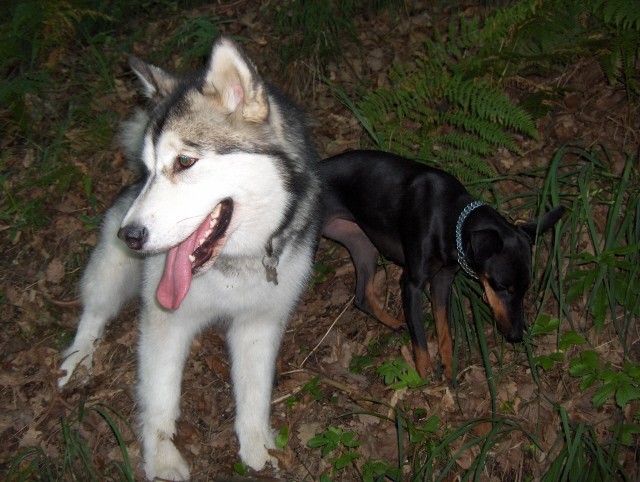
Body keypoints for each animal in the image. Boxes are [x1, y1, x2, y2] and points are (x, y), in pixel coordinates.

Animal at [57, 36, 322, 478]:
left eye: (184, 161)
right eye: (149, 170)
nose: (129, 236)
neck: (231, 266)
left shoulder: (259, 323)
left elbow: (254, 396)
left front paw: (256, 447)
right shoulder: (165, 321)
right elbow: (160, 398)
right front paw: (163, 459)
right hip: (111, 270)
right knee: (94, 312)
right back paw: (78, 358)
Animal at [322, 149, 564, 378]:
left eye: (525, 290)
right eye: (502, 287)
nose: (516, 336)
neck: (450, 217)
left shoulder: (442, 280)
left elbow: (444, 328)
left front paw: (449, 366)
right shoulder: (412, 284)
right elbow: (419, 336)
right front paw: (423, 374)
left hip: (362, 244)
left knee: (362, 297)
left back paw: (393, 323)